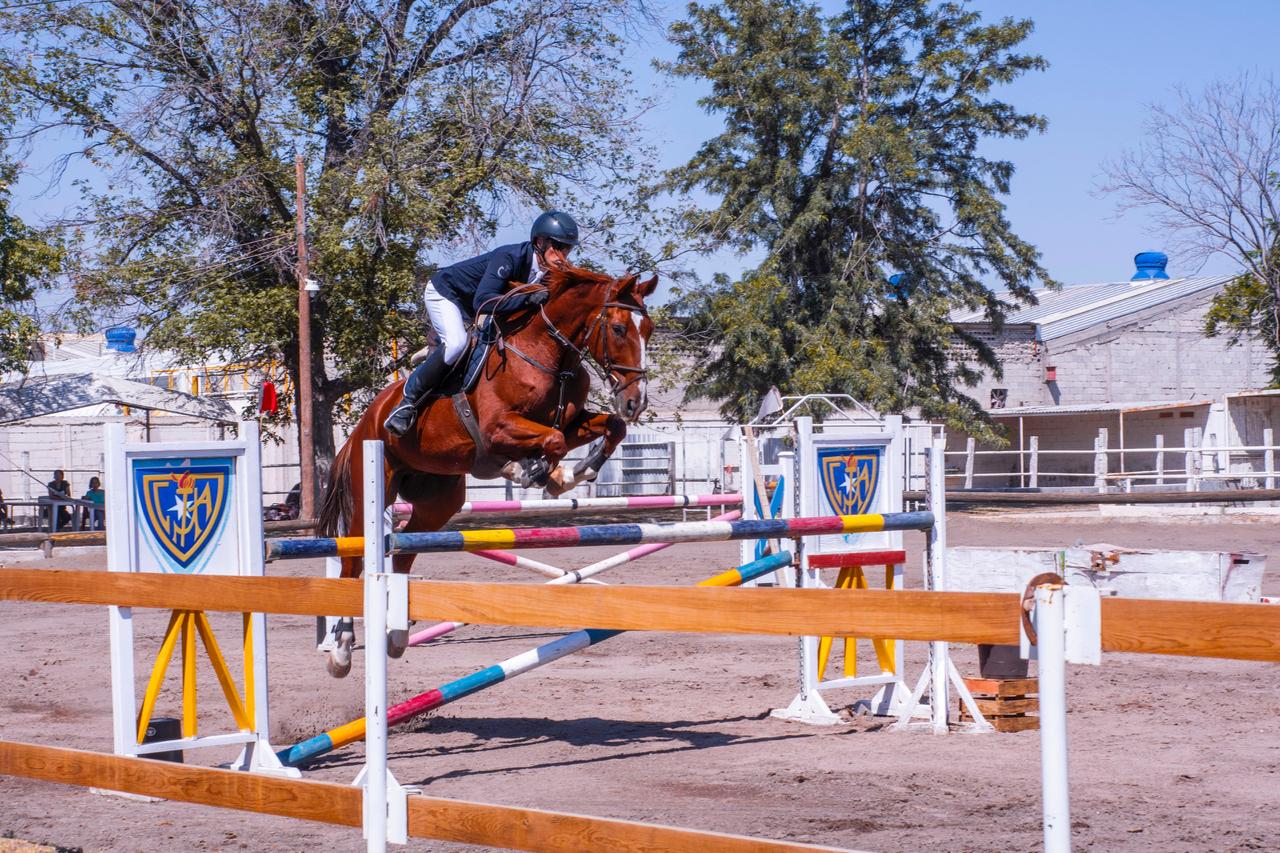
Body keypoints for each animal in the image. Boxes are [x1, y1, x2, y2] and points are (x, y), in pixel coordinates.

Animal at [313, 262, 655, 676]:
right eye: (619, 329)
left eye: (649, 329)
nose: (636, 401)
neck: (549, 355)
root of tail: (366, 420)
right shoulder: (496, 430)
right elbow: (553, 440)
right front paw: (536, 473)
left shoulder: (571, 421)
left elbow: (603, 429)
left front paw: (572, 473)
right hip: (374, 486)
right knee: (352, 559)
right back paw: (341, 650)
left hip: (438, 500)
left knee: (404, 550)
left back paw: (396, 637)